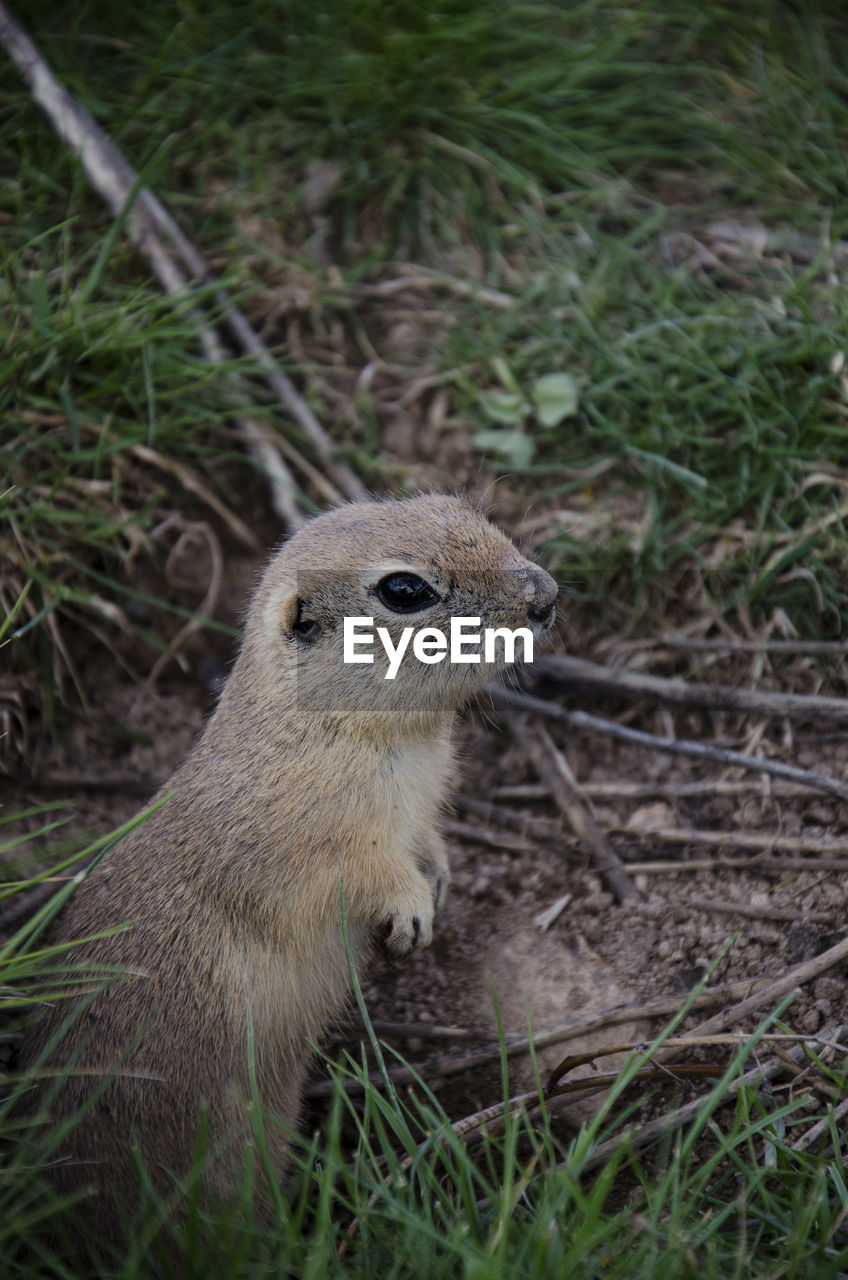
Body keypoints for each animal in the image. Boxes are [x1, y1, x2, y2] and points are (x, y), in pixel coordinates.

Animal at [19, 488, 561, 1218]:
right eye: (404, 589)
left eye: (452, 501)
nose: (547, 594)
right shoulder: (309, 846)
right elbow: (360, 875)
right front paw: (413, 914)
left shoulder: (418, 812)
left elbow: (426, 843)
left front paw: (441, 880)